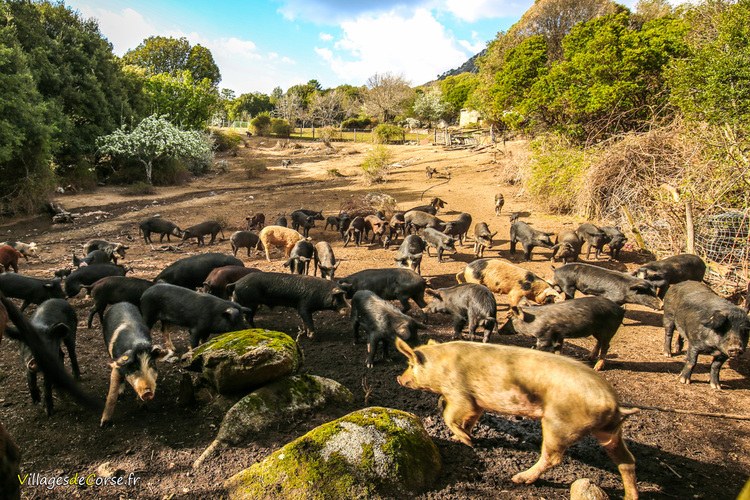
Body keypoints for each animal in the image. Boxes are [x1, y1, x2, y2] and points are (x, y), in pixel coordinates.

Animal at [396, 340, 636, 500]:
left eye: (410, 364)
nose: (399, 378)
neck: (439, 366)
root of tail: (612, 403)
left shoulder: (459, 394)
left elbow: (450, 415)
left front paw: (466, 441)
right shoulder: (477, 403)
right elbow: (471, 418)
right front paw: (465, 438)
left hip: (560, 425)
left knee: (553, 457)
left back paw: (519, 478)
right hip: (609, 431)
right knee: (627, 461)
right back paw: (630, 496)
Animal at [500, 296, 628, 372]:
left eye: (510, 318)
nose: (500, 330)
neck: (534, 320)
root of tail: (621, 309)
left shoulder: (545, 337)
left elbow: (540, 347)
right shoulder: (559, 336)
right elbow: (558, 349)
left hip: (608, 330)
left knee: (606, 345)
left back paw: (597, 368)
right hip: (597, 331)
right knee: (599, 342)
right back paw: (589, 358)